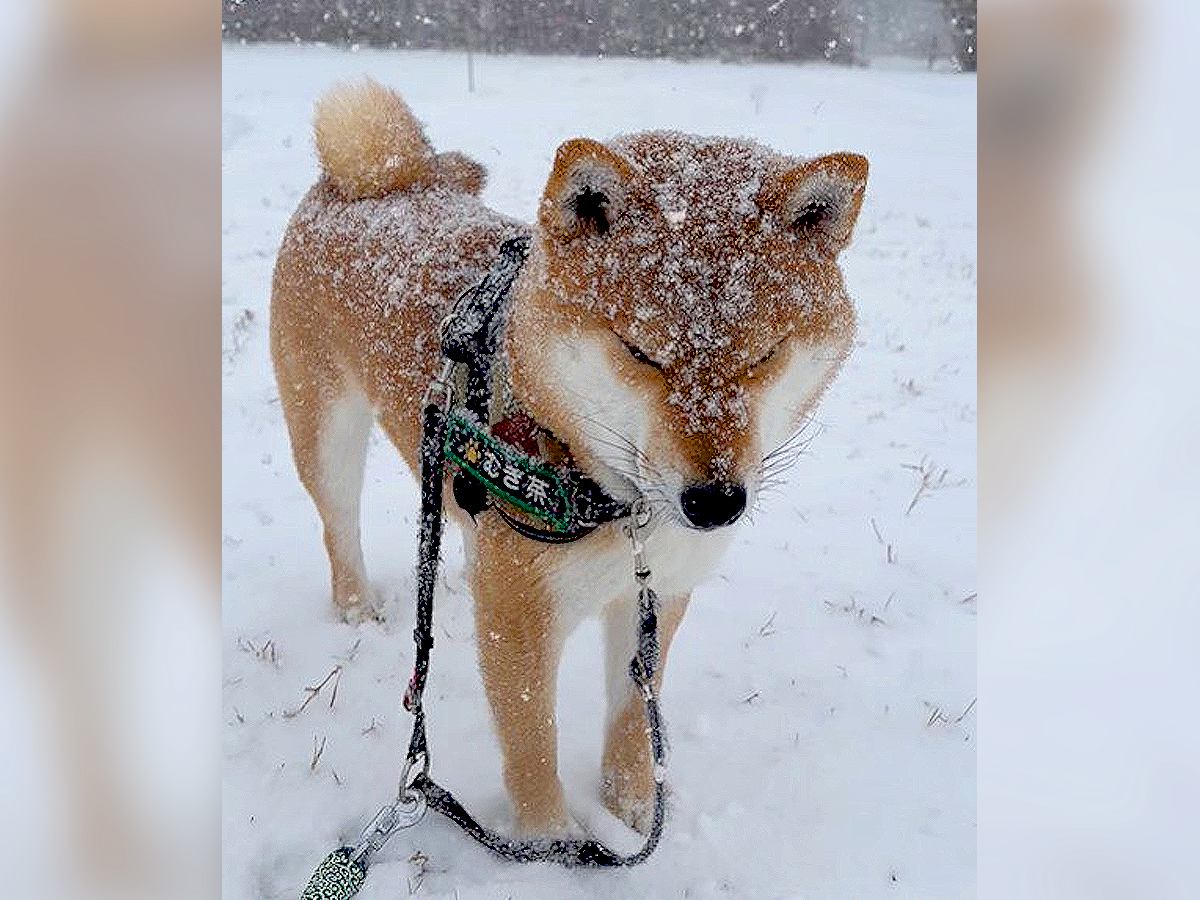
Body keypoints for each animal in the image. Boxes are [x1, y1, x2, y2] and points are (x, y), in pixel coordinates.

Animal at [272, 79, 868, 840]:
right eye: (642, 353)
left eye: (765, 355)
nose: (715, 502)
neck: (613, 500)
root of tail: (370, 180)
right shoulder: (519, 616)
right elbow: (532, 744)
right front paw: (552, 844)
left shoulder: (657, 592)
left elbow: (634, 721)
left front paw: (632, 814)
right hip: (326, 433)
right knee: (337, 523)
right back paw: (355, 606)